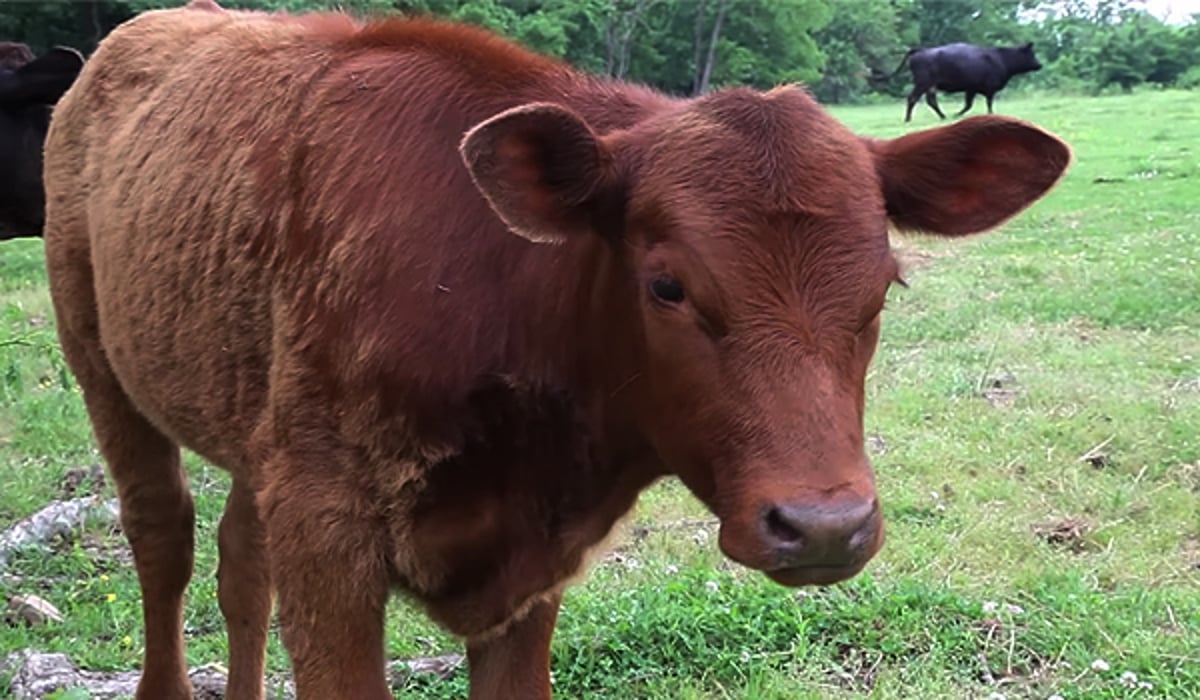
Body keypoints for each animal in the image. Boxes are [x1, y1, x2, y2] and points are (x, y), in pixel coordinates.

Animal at [892, 42, 1041, 122]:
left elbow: (968, 105)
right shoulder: (989, 87)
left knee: (931, 101)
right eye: (1031, 54)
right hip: (922, 83)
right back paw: (908, 119)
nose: (1040, 65)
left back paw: (943, 116)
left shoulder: (971, 88)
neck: (1002, 59)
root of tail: (922, 50)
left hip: (930, 85)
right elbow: (987, 103)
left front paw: (957, 114)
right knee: (912, 98)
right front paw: (991, 115)